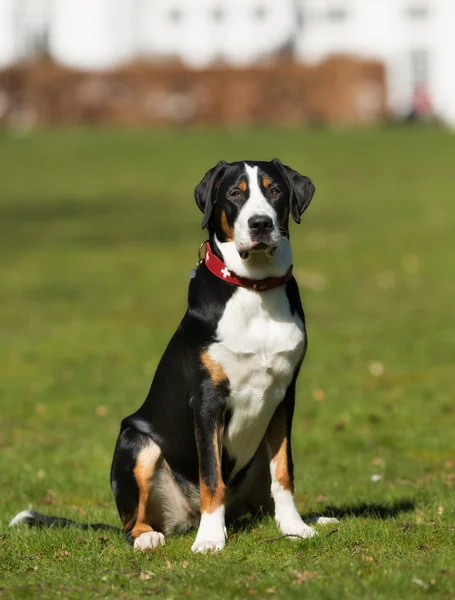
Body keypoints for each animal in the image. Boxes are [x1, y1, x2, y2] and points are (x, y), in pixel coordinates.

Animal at [8, 158, 334, 552]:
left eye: (275, 191)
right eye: (235, 193)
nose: (261, 224)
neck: (254, 290)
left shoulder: (284, 396)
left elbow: (283, 472)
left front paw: (295, 527)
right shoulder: (207, 401)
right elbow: (211, 476)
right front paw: (210, 540)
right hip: (136, 441)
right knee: (133, 522)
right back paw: (150, 536)